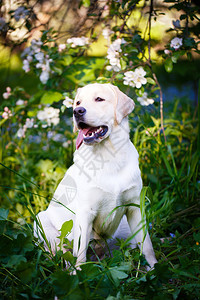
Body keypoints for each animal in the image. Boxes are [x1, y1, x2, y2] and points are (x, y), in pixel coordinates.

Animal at [35, 83, 158, 268]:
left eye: (99, 99)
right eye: (78, 102)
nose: (77, 111)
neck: (109, 157)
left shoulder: (135, 207)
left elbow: (148, 245)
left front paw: (155, 268)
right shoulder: (85, 212)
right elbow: (80, 253)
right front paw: (79, 272)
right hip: (42, 222)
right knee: (62, 253)